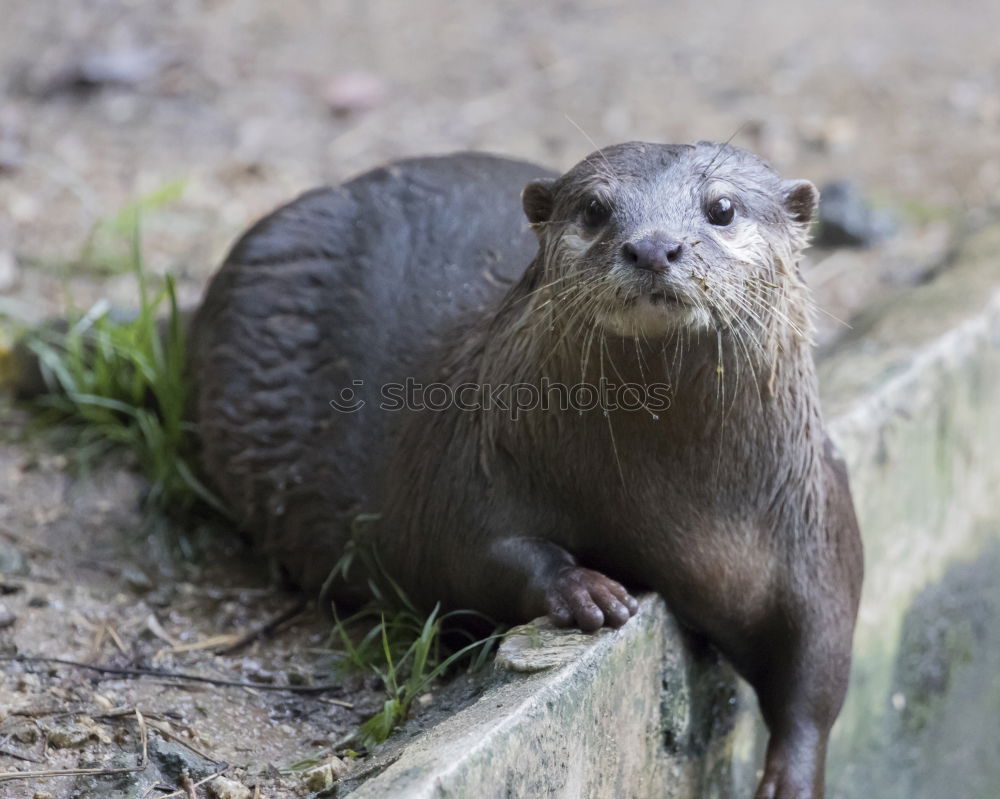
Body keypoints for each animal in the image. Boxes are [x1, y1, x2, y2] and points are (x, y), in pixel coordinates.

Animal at [191, 145, 864, 799]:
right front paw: (584, 588)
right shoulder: (471, 464)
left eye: (721, 207)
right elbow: (467, 551)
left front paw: (793, 778)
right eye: (594, 208)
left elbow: (821, 656)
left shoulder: (815, 522)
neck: (683, 514)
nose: (653, 246)